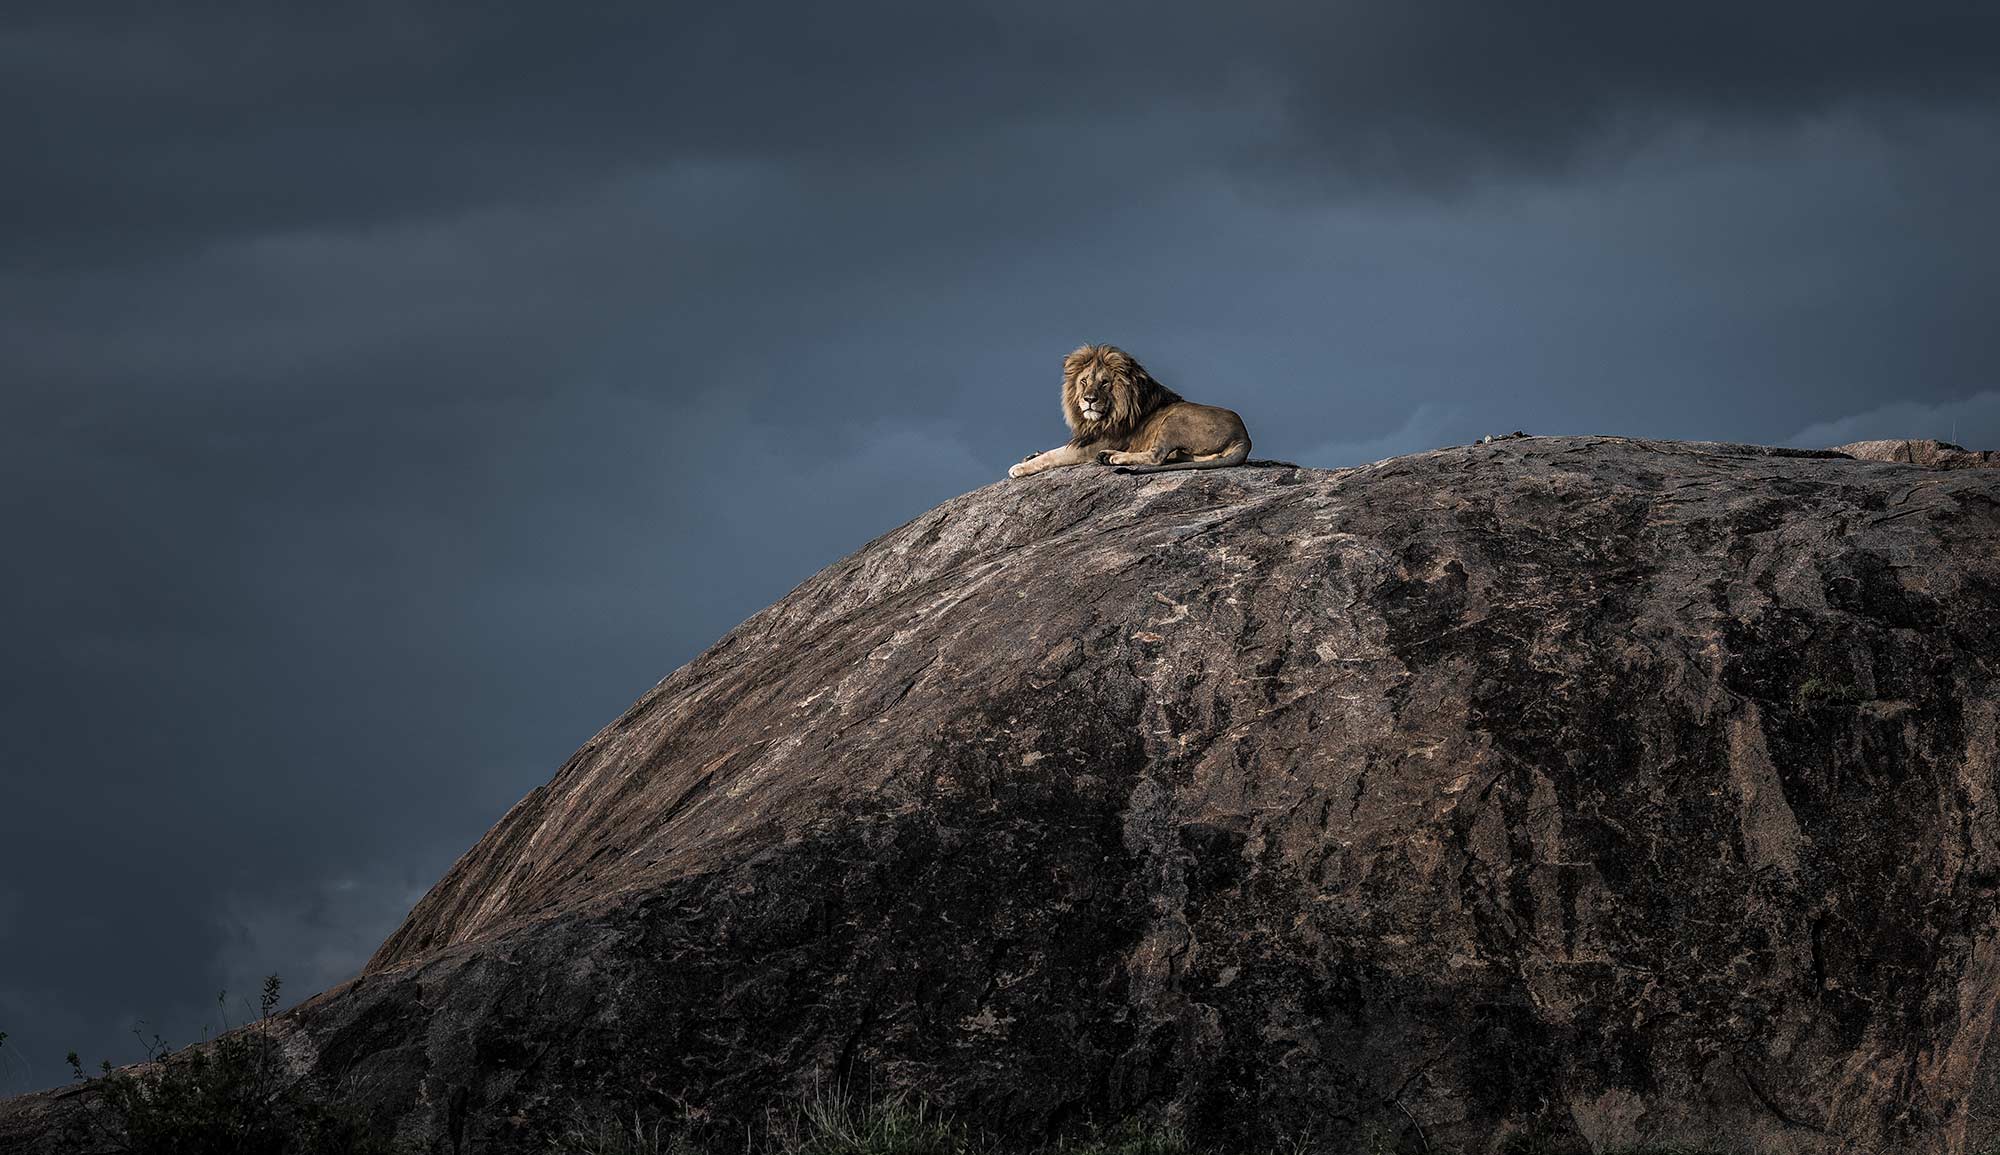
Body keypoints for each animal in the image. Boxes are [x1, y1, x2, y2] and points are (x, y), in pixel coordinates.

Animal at [1016, 345, 1248, 481]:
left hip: (1174, 419)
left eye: (1104, 383)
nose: (1089, 400)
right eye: (1084, 381)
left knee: (1156, 457)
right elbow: (1052, 450)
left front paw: (1020, 467)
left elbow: (1055, 455)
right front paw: (1031, 455)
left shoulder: (1092, 446)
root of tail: (1244, 437)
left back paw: (1112, 457)